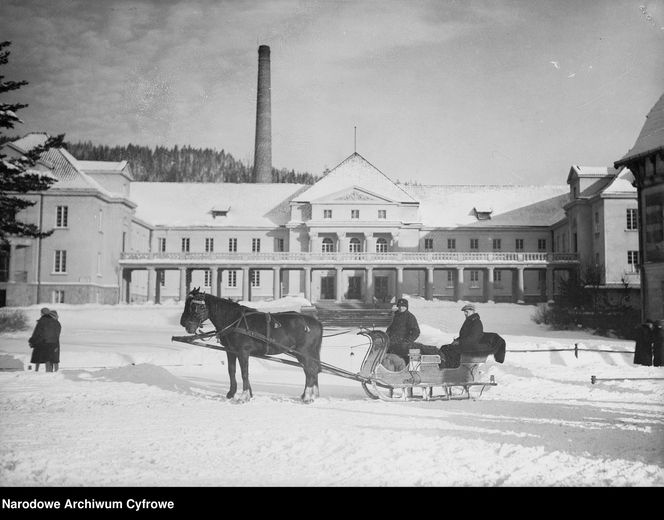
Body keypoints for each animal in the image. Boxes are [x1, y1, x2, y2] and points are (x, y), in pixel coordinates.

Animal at [179, 288, 324, 402]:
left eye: (193, 306)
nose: (183, 323)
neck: (234, 320)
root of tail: (316, 322)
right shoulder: (230, 351)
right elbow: (232, 371)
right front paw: (232, 393)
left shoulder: (243, 352)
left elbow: (244, 373)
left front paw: (244, 396)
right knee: (311, 370)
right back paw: (310, 395)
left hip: (304, 352)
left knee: (310, 370)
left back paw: (307, 397)